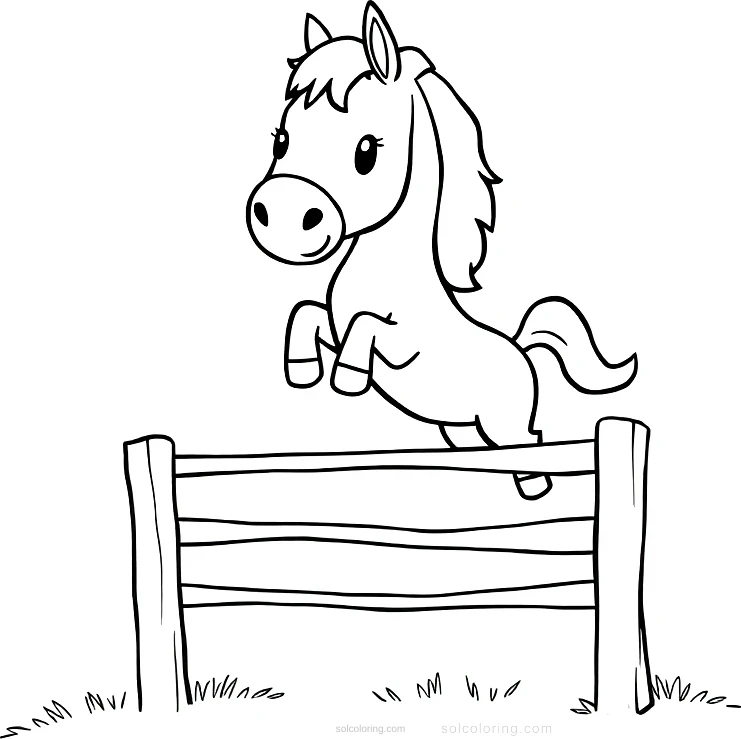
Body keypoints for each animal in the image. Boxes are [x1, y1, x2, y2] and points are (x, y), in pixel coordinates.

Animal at [246, 2, 637, 499]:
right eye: (281, 139)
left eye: (366, 151)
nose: (283, 217)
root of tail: (523, 352)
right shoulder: (330, 324)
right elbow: (306, 312)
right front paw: (301, 369)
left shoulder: (399, 348)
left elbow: (366, 326)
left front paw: (348, 378)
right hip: (461, 426)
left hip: (503, 422)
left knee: (530, 441)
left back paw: (534, 487)